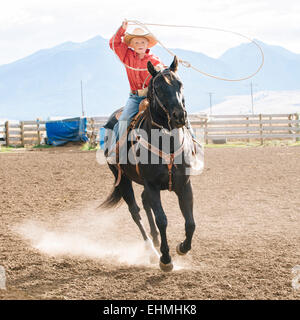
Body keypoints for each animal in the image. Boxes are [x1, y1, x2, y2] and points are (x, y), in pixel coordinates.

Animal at [101, 56, 199, 272]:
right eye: (159, 88)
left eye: (180, 84)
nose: (180, 115)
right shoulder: (152, 185)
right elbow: (162, 220)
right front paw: (166, 259)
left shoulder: (184, 185)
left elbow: (190, 222)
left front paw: (182, 248)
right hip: (122, 180)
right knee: (135, 211)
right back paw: (151, 250)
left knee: (144, 203)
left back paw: (155, 242)